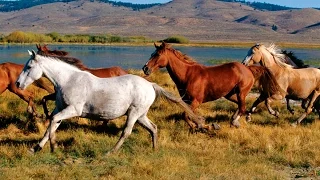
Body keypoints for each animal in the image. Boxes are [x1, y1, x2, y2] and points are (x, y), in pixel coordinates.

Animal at [15, 50, 205, 153]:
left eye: (29, 67)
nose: (17, 84)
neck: (69, 80)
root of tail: (150, 85)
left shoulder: (73, 110)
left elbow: (53, 122)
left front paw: (52, 147)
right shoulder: (60, 109)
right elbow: (51, 125)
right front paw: (36, 148)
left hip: (134, 114)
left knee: (126, 132)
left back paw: (110, 153)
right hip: (141, 115)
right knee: (153, 128)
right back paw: (154, 149)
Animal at [142, 41, 280, 129]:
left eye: (157, 54)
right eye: (151, 54)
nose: (145, 68)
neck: (188, 75)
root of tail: (248, 69)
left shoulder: (195, 101)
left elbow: (186, 115)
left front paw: (200, 127)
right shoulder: (186, 101)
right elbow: (187, 116)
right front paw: (200, 125)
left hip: (241, 92)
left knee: (242, 108)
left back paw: (235, 122)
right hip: (230, 95)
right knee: (240, 107)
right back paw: (234, 121)